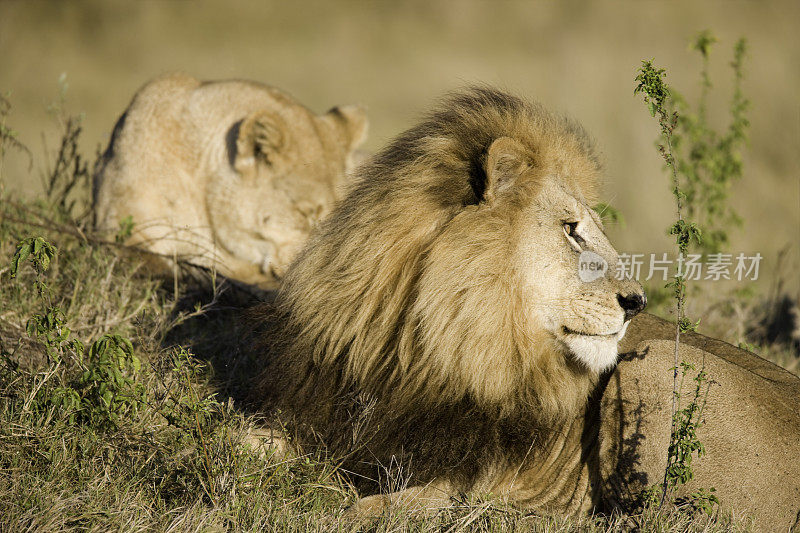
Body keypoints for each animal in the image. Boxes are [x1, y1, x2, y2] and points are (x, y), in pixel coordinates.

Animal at [250, 87, 800, 528]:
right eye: (571, 229)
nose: (638, 303)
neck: (419, 349)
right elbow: (250, 439)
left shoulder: (478, 475)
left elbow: (377, 506)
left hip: (659, 363)